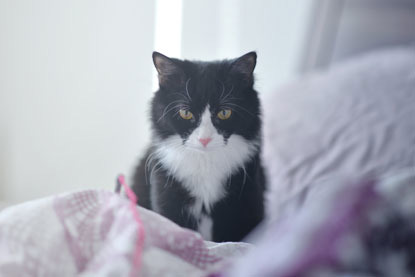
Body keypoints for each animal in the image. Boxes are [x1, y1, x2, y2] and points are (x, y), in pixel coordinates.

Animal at [132, 51, 264, 242]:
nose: (204, 139)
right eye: (185, 113)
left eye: (225, 113)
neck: (205, 161)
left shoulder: (248, 197)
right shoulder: (166, 191)